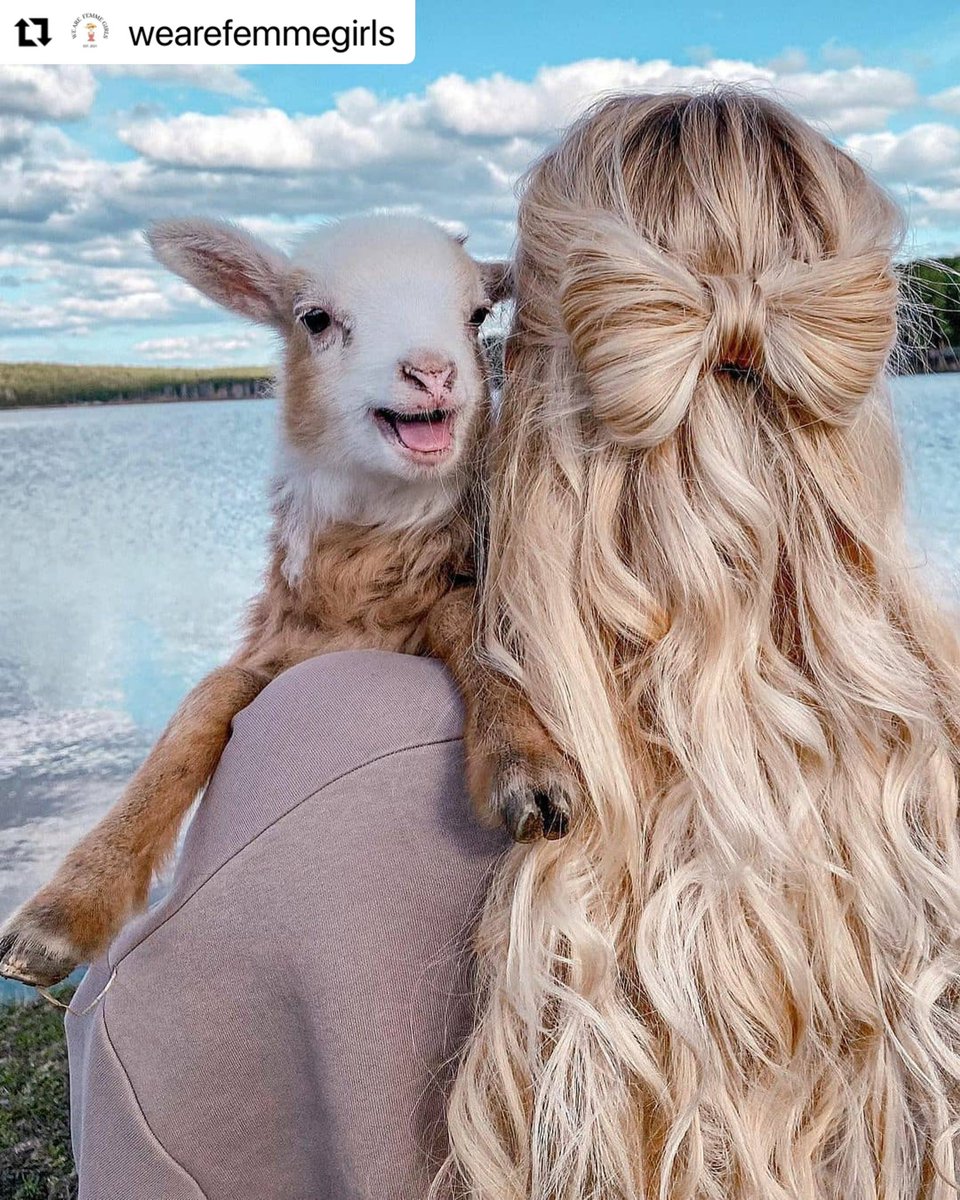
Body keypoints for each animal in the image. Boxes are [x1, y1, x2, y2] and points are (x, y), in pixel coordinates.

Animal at [0, 214, 575, 988]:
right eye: (316, 319)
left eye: (477, 313)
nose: (432, 371)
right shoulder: (286, 641)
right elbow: (202, 704)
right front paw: (63, 912)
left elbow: (464, 619)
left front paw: (523, 761)